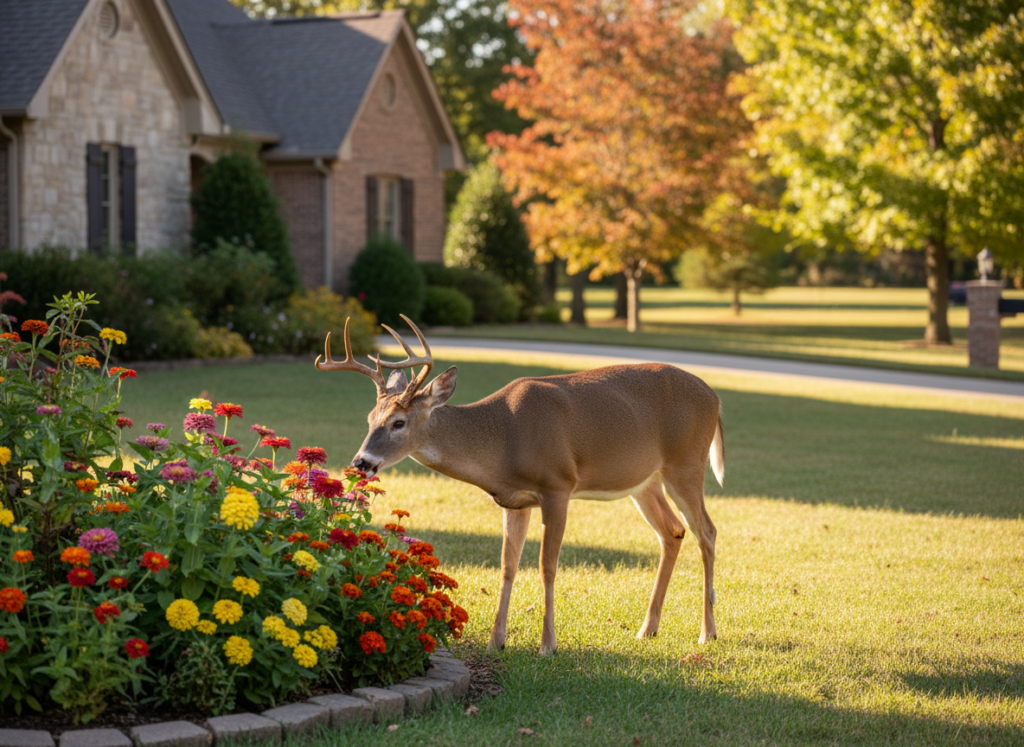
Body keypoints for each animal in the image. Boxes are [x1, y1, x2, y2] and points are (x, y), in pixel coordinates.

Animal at [316, 315, 724, 654]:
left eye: (398, 422)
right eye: (371, 418)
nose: (361, 462)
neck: (503, 440)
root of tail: (716, 397)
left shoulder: (558, 486)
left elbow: (547, 566)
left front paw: (548, 645)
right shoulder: (515, 501)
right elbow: (507, 565)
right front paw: (496, 642)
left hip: (686, 464)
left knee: (707, 530)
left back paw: (708, 632)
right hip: (645, 481)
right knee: (672, 531)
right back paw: (647, 629)